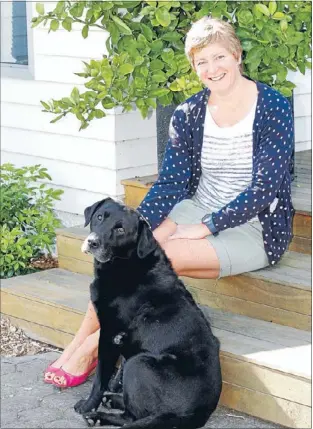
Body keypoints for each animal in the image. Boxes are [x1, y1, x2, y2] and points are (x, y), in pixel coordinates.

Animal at [75, 198, 222, 428]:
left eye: (120, 229)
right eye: (99, 217)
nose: (92, 242)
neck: (127, 262)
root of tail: (196, 414)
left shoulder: (109, 335)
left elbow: (100, 378)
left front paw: (88, 405)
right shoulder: (123, 340)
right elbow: (118, 371)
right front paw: (114, 389)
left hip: (140, 363)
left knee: (131, 418)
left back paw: (97, 416)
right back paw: (113, 400)